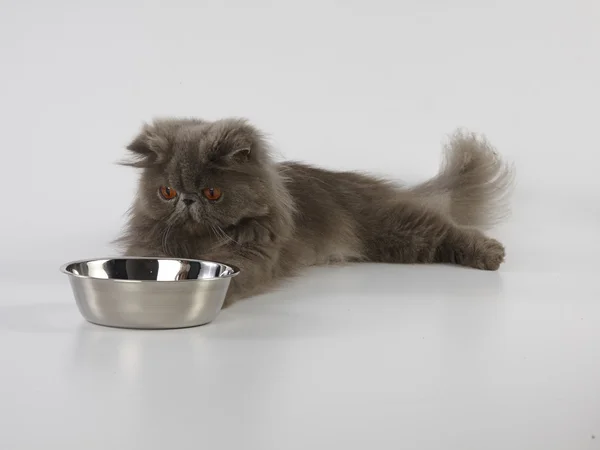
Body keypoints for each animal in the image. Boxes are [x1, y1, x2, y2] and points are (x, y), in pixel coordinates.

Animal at [118, 117, 516, 306]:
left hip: (397, 228)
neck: (198, 241)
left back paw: (491, 254)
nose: (187, 200)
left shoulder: (251, 251)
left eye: (212, 193)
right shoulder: (149, 244)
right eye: (167, 192)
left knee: (447, 229)